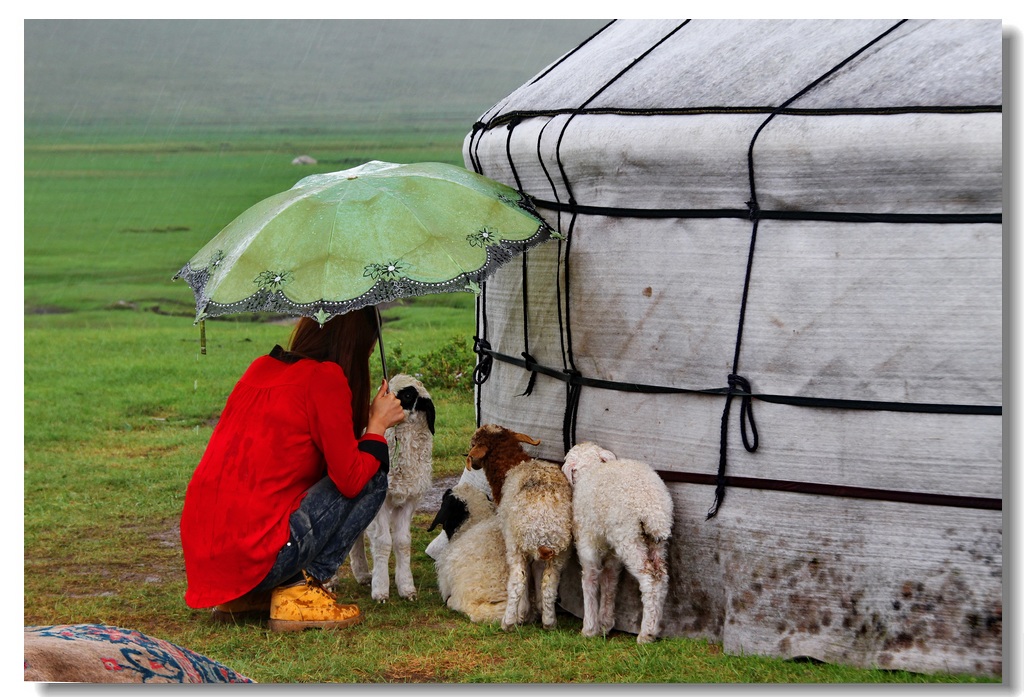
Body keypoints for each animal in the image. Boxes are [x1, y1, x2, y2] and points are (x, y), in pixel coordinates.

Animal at [350, 372, 434, 601]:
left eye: (407, 394)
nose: (378, 407)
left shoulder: (409, 501)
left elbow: (403, 542)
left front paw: (407, 588)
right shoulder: (381, 501)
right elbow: (383, 542)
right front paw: (380, 590)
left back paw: (362, 574)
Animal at [561, 442, 671, 642]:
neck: (592, 470)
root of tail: (651, 509)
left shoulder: (587, 543)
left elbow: (590, 579)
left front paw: (589, 628)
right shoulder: (612, 553)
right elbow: (609, 580)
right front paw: (605, 624)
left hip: (628, 536)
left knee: (649, 579)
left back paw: (646, 634)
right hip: (656, 541)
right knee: (661, 577)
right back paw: (654, 625)